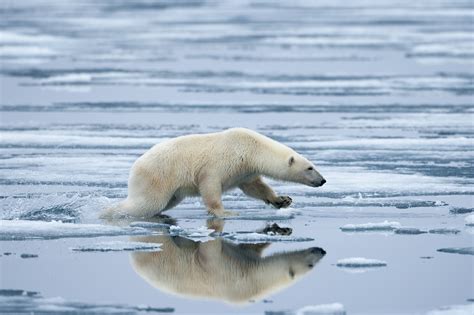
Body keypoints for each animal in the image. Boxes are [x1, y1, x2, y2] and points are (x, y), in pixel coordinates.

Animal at [101, 128, 326, 220]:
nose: (323, 180)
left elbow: (255, 187)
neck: (251, 148)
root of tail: (135, 167)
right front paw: (226, 212)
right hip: (157, 177)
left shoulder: (244, 171)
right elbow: (210, 185)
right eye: (310, 168)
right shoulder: (222, 161)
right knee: (145, 204)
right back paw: (106, 212)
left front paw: (282, 200)